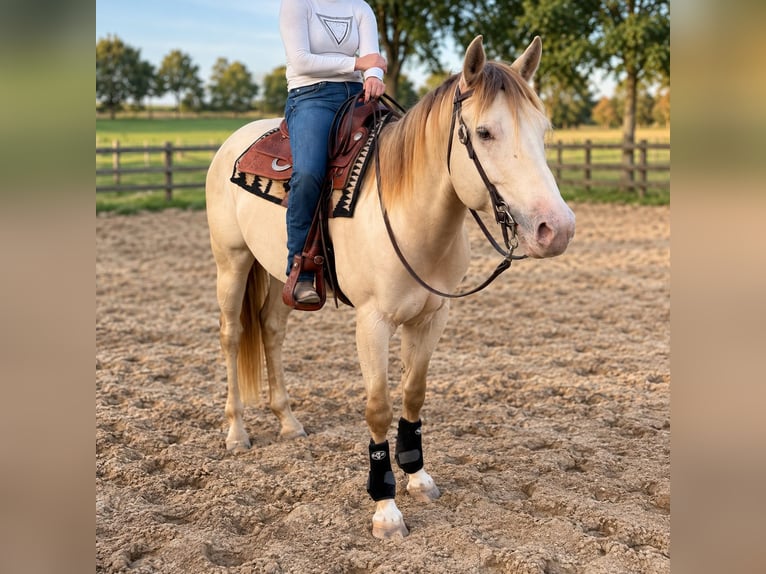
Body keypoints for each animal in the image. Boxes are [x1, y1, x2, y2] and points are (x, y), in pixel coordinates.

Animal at [205, 35, 575, 539]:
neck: (409, 215)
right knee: (233, 335)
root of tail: (235, 141)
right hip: (232, 262)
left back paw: (288, 421)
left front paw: (417, 475)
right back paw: (236, 432)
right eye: (484, 133)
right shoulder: (372, 322)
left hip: (282, 275)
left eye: (543, 129)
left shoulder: (432, 317)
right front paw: (385, 507)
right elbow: (378, 406)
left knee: (271, 330)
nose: (556, 229)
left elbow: (413, 394)